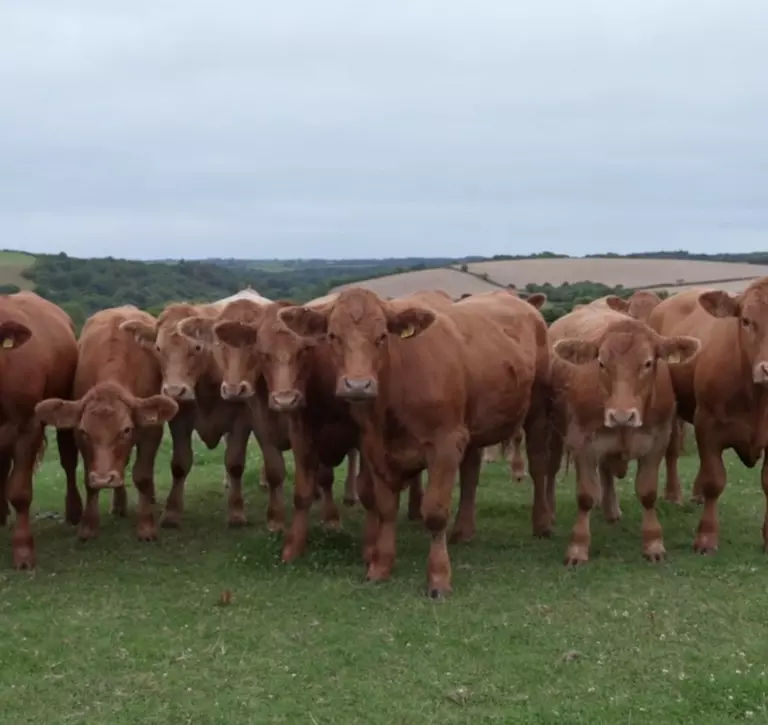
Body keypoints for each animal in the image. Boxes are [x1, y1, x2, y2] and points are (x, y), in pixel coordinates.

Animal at [35, 306, 178, 544]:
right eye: (85, 431)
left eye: (126, 430)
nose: (104, 478)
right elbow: (88, 479)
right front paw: (88, 527)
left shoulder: (151, 431)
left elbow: (142, 476)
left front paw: (146, 527)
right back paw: (118, 503)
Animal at [270, 286, 552, 596]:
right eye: (333, 336)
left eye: (382, 336)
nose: (358, 385)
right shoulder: (374, 447)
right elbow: (385, 508)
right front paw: (380, 567)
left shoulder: (445, 444)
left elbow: (436, 512)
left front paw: (439, 578)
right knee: (470, 474)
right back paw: (463, 531)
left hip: (538, 413)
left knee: (539, 466)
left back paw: (542, 523)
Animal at [544, 300, 704, 564]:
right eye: (601, 363)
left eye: (648, 363)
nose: (621, 415)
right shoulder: (582, 443)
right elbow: (585, 496)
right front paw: (577, 547)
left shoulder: (657, 441)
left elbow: (648, 493)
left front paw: (653, 543)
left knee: (606, 472)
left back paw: (611, 509)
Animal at [648, 280, 768, 552]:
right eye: (746, 320)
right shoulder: (708, 423)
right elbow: (715, 480)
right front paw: (706, 536)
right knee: (673, 452)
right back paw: (674, 494)